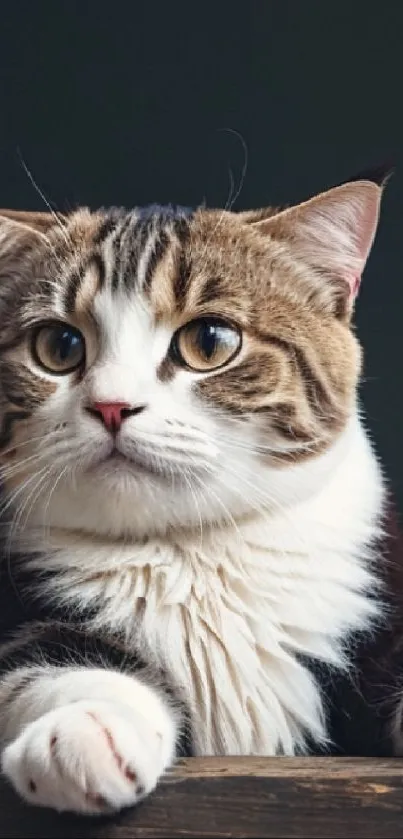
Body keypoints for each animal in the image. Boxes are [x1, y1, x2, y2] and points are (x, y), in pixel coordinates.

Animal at [0, 167, 400, 816]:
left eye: (209, 342)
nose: (112, 406)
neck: (187, 549)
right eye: (59, 347)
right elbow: (45, 658)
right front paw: (89, 726)